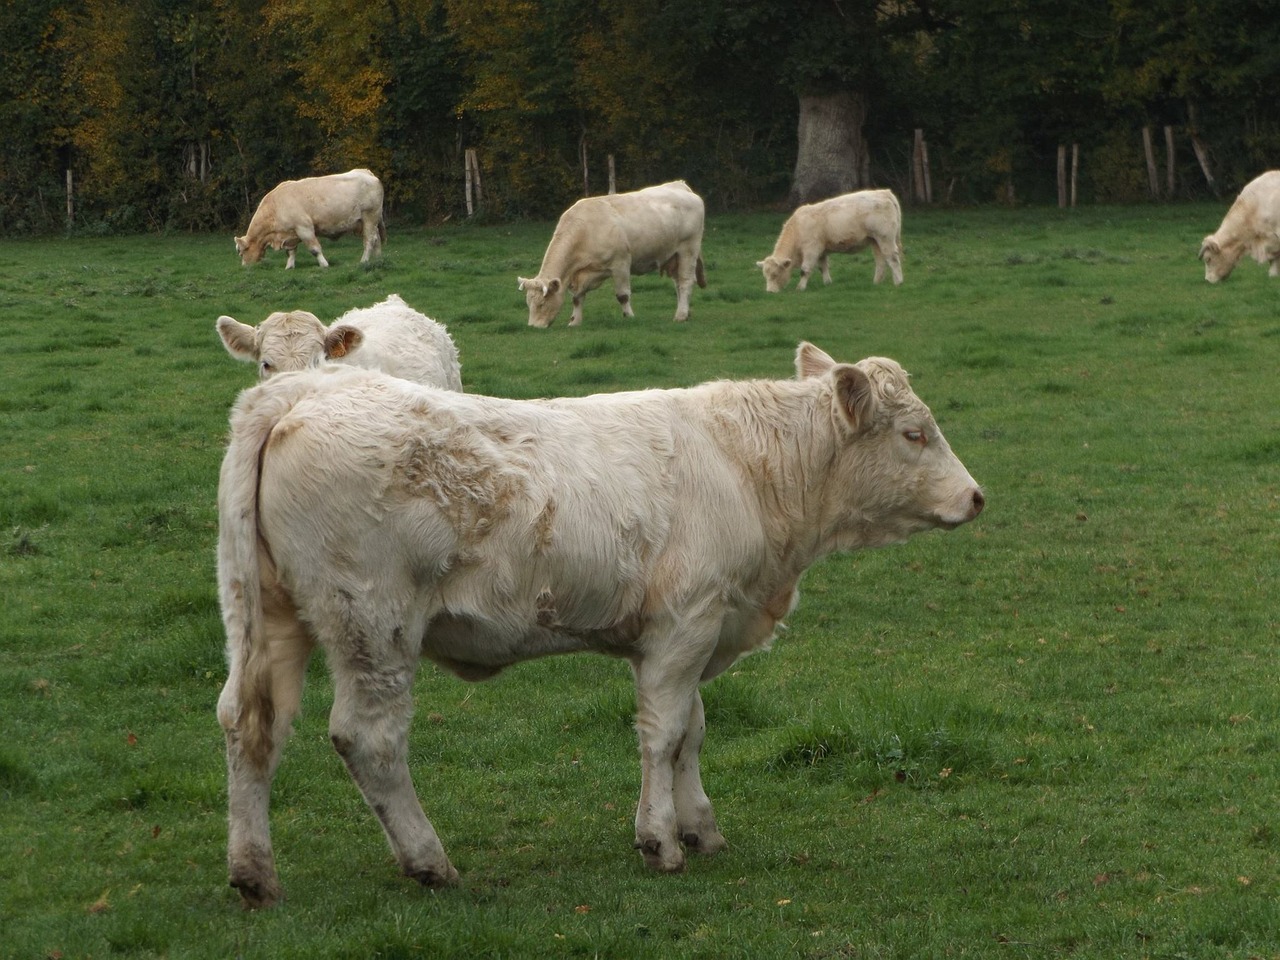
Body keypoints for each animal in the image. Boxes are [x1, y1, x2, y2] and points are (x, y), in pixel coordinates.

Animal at [215, 343, 983, 911]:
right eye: (915, 434)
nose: (976, 497)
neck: (747, 469)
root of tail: (302, 391)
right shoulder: (687, 621)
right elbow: (665, 734)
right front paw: (660, 842)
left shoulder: (693, 630)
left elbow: (692, 730)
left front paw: (700, 827)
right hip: (373, 624)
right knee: (368, 739)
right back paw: (429, 861)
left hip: (264, 618)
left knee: (250, 723)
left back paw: (254, 873)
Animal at [234, 168, 384, 271]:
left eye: (241, 252)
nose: (245, 268)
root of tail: (366, 172)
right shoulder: (291, 234)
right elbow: (291, 252)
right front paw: (289, 267)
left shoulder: (304, 228)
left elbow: (314, 249)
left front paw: (324, 264)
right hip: (369, 222)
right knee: (376, 239)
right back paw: (378, 259)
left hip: (370, 216)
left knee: (369, 240)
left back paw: (364, 261)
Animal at [514, 181, 706, 330]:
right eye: (528, 303)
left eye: (542, 303)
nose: (534, 327)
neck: (585, 231)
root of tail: (680, 185)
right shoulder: (581, 274)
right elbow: (577, 298)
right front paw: (575, 321)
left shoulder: (621, 263)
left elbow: (622, 295)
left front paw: (629, 317)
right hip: (673, 256)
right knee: (678, 283)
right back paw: (685, 312)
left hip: (688, 249)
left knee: (685, 282)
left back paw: (680, 315)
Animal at [752, 189, 906, 291]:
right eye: (765, 275)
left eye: (775, 274)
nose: (770, 292)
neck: (798, 227)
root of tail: (884, 192)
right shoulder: (821, 250)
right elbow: (823, 267)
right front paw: (827, 283)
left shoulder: (811, 250)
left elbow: (805, 269)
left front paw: (800, 288)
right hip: (875, 241)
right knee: (881, 261)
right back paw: (876, 283)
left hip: (885, 238)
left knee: (892, 259)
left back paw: (898, 282)